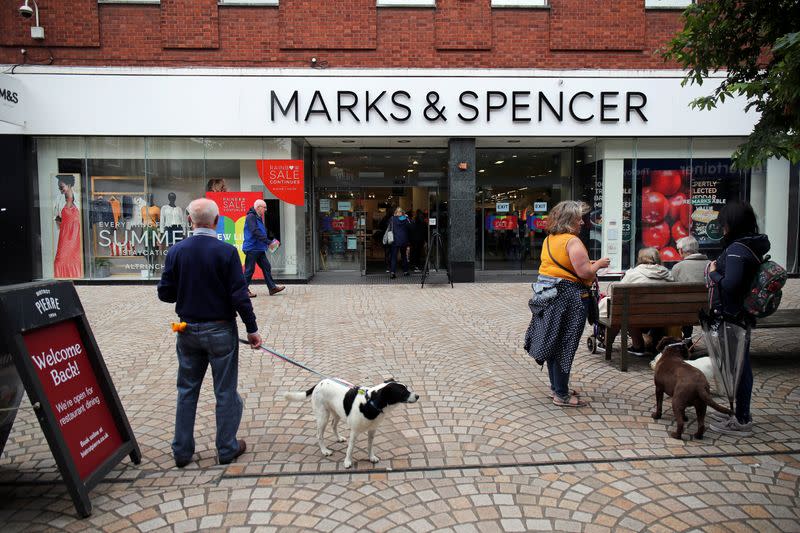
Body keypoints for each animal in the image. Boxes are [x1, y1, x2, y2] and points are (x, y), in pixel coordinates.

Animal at [282, 376, 418, 468]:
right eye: (403, 392)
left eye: (407, 388)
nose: (417, 396)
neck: (370, 402)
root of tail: (319, 383)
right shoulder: (354, 431)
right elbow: (350, 448)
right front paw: (347, 461)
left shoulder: (372, 430)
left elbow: (370, 446)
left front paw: (371, 457)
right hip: (323, 416)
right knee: (319, 435)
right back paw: (325, 451)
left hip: (337, 412)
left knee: (333, 425)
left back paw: (338, 438)